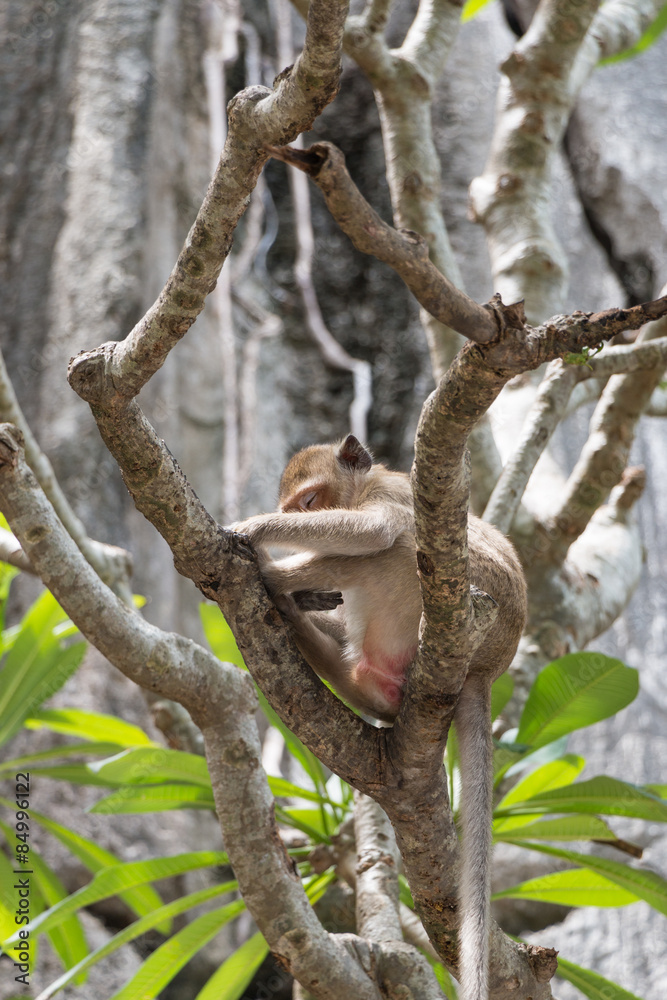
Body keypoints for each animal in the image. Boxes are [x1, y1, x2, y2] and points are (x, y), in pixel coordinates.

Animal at [231, 435, 527, 1000]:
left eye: (311, 502)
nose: (304, 518)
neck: (366, 481)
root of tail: (486, 670)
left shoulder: (392, 494)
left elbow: (377, 531)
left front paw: (251, 530)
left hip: (420, 599)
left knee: (390, 548)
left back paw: (276, 582)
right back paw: (297, 614)